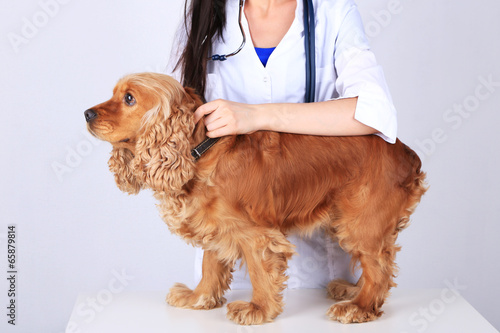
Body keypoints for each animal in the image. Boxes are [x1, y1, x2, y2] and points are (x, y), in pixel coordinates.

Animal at [85, 71, 426, 322]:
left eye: (129, 98)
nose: (86, 113)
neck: (197, 152)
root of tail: (407, 153)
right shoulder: (216, 227)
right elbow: (211, 265)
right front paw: (198, 298)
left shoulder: (256, 235)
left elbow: (260, 272)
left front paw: (258, 309)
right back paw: (351, 292)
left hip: (361, 222)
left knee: (379, 267)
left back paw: (360, 306)